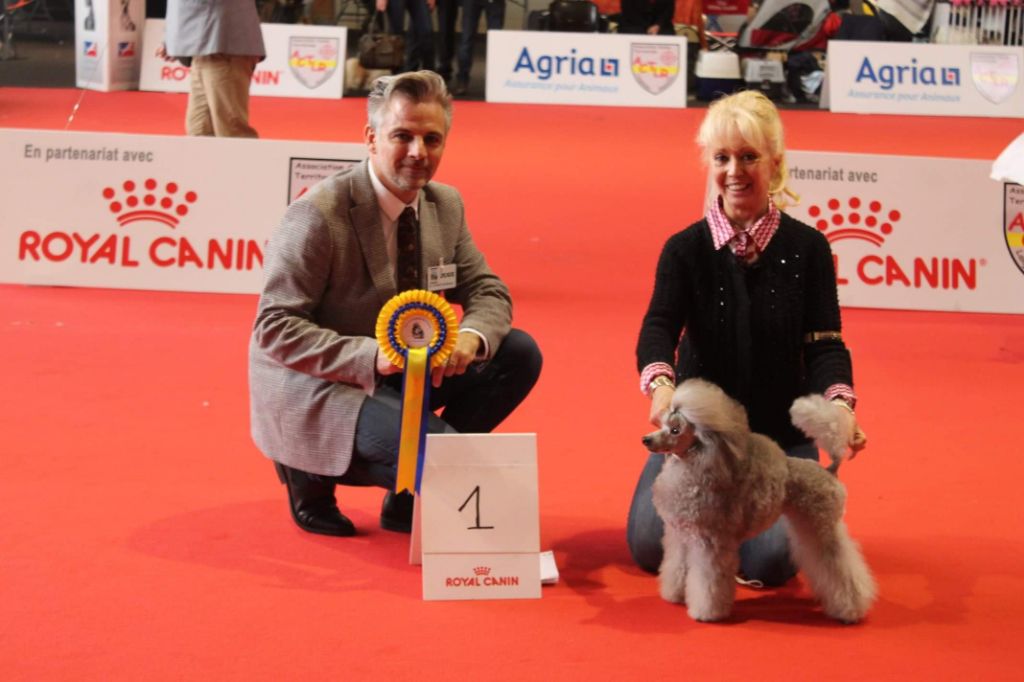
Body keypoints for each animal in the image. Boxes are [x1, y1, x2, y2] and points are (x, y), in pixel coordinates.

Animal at [642, 379, 876, 623]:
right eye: (663, 423)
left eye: (675, 430)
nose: (646, 439)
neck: (697, 466)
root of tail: (830, 470)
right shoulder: (681, 537)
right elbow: (677, 566)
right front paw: (674, 594)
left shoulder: (710, 542)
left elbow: (708, 581)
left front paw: (706, 612)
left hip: (821, 526)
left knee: (840, 567)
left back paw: (850, 609)